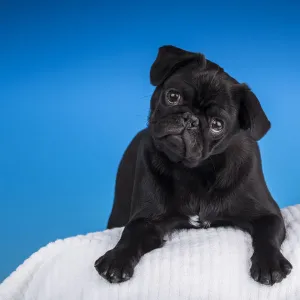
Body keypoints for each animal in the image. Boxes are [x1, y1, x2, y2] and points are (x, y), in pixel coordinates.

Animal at [94, 45, 292, 286]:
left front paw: (270, 263)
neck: (196, 170)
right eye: (172, 96)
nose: (191, 119)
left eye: (217, 125)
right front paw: (116, 258)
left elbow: (268, 236)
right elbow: (131, 233)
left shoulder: (269, 215)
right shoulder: (147, 220)